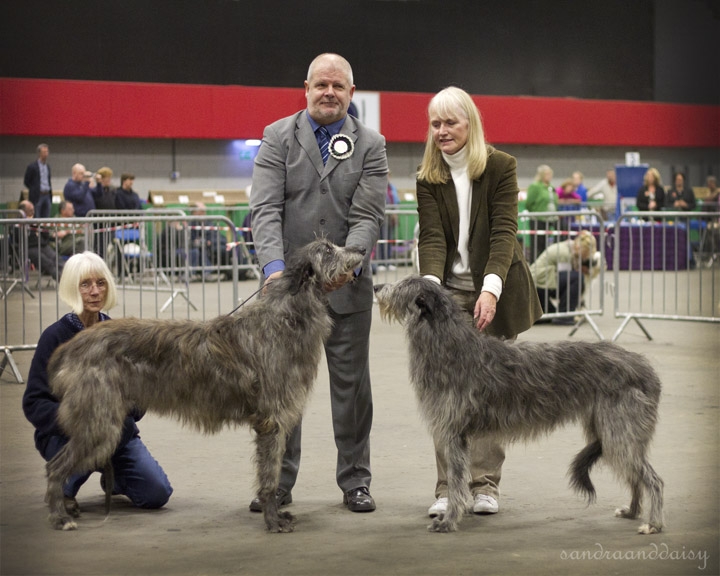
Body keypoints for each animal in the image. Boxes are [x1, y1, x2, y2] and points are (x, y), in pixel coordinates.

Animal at [45, 237, 366, 532]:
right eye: (327, 250)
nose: (362, 249)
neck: (286, 318)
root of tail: (75, 345)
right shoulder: (271, 421)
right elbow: (269, 476)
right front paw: (273, 520)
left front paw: (275, 514)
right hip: (99, 422)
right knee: (55, 467)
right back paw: (60, 516)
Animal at [376, 276, 664, 536]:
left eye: (402, 285)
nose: (377, 286)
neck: (450, 346)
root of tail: (647, 370)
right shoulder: (455, 434)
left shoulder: (454, 433)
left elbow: (457, 482)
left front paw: (448, 522)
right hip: (609, 429)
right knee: (636, 475)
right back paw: (632, 511)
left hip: (619, 430)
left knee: (653, 479)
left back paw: (653, 523)